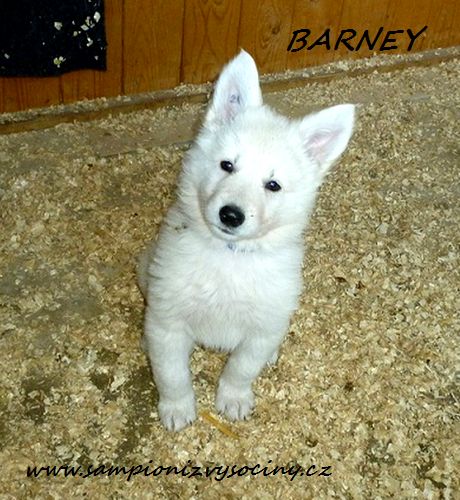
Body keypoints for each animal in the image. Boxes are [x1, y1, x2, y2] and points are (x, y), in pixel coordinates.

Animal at [137, 49, 356, 430]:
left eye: (273, 185)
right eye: (227, 165)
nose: (230, 215)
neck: (230, 256)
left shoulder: (261, 329)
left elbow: (240, 369)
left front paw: (233, 400)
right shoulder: (167, 320)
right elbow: (172, 373)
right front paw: (177, 407)